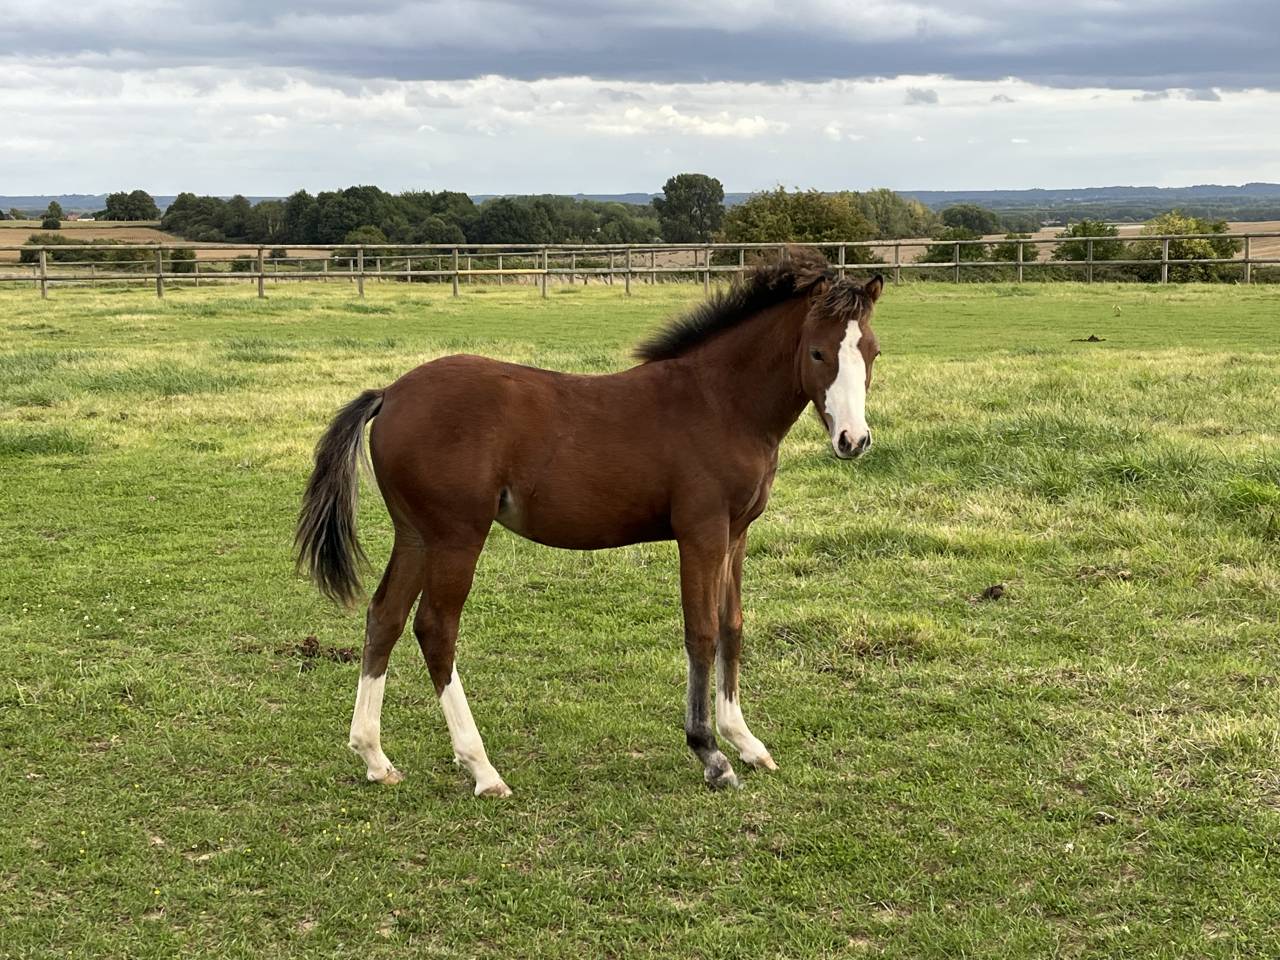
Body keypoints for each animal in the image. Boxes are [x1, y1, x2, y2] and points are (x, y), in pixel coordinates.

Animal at [296, 248, 882, 795]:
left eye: (872, 351)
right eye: (817, 351)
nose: (853, 441)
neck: (720, 404)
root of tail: (390, 394)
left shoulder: (736, 534)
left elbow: (732, 626)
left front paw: (747, 742)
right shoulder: (701, 532)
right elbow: (701, 632)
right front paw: (711, 755)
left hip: (416, 535)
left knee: (385, 618)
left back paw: (375, 757)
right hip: (456, 535)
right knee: (435, 627)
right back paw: (482, 768)